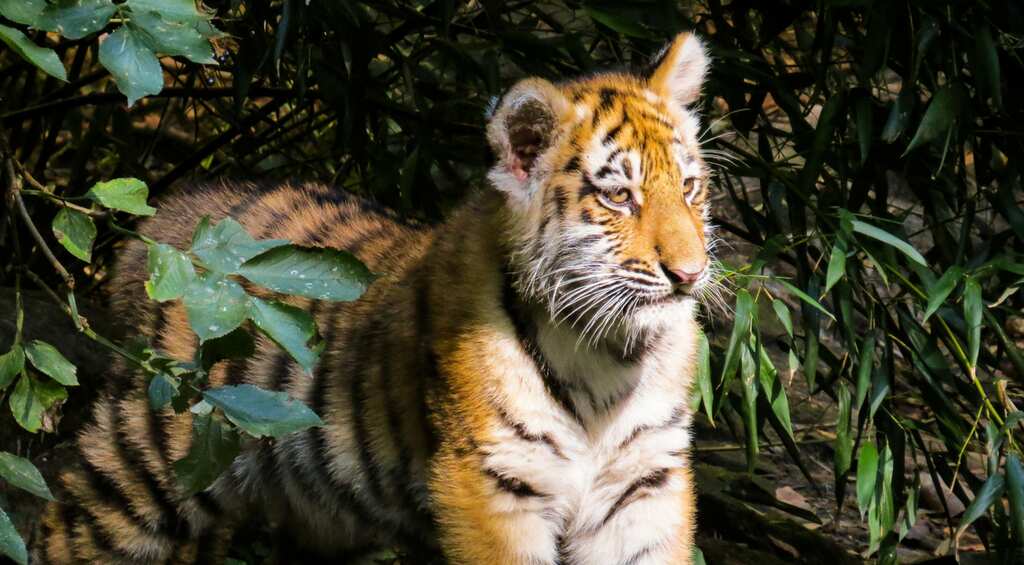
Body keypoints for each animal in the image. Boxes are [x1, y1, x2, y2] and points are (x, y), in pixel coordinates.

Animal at [31, 31, 717, 564]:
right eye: (619, 196)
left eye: (688, 187)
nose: (690, 274)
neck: (608, 356)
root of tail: (169, 217)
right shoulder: (491, 487)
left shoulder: (644, 487)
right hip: (147, 458)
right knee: (61, 523)